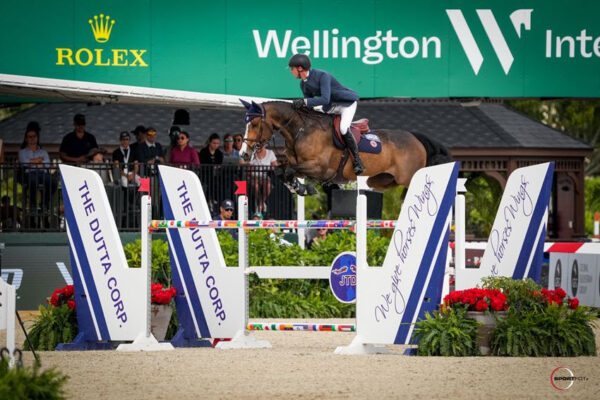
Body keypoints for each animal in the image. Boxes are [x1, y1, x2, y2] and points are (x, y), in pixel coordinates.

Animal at [239, 99, 450, 195]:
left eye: (255, 124)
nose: (243, 154)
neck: (300, 130)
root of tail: (414, 137)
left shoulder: (319, 168)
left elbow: (289, 170)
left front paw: (305, 189)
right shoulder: (299, 166)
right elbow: (281, 172)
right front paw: (299, 188)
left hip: (408, 176)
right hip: (381, 179)